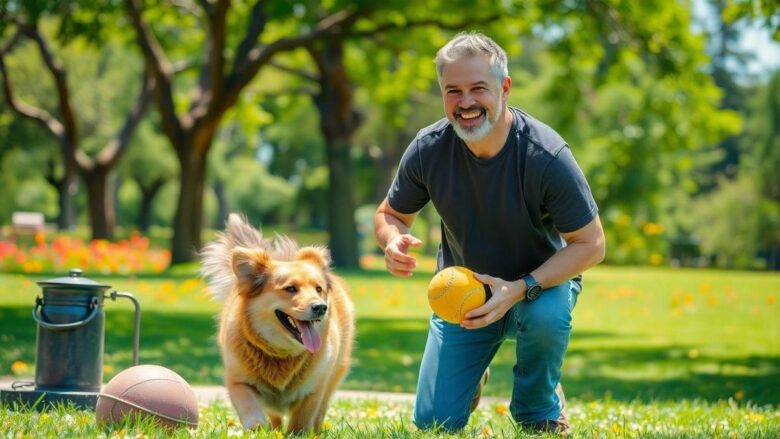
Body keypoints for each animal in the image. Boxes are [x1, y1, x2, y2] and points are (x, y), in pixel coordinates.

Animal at [200, 215, 354, 432]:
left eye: (318, 289)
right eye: (290, 289)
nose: (321, 307)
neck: (282, 354)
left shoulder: (314, 391)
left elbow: (301, 422)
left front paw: (298, 433)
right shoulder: (237, 382)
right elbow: (249, 406)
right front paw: (256, 427)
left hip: (335, 374)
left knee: (321, 410)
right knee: (274, 416)